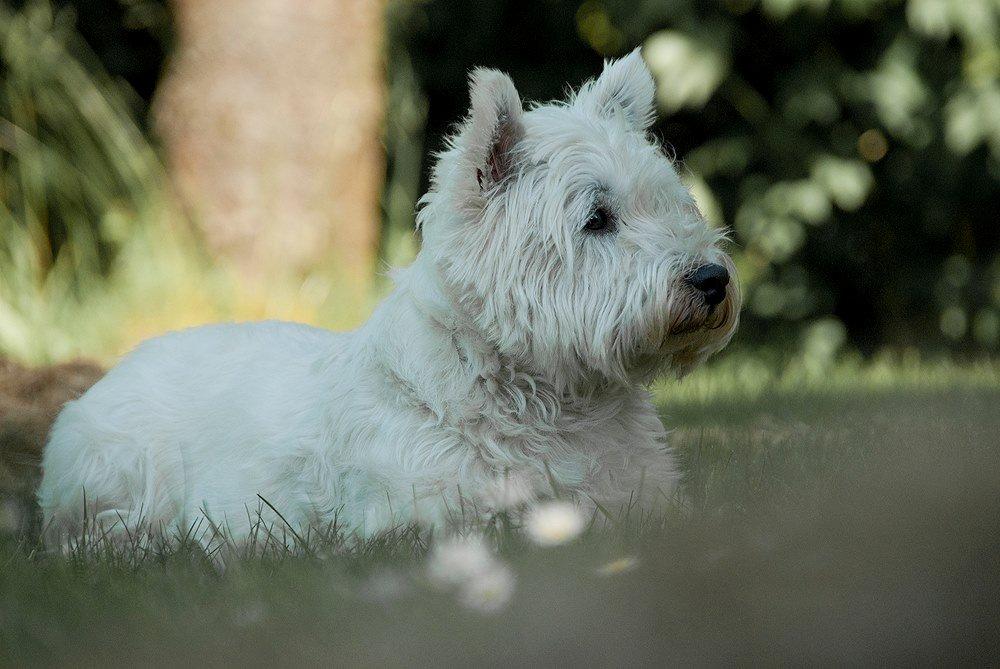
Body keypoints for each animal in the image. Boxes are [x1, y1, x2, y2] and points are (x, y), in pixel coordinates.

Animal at [39, 52, 740, 544]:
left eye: (670, 203)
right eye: (597, 219)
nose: (713, 280)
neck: (552, 400)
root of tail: (118, 365)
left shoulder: (645, 495)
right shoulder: (422, 515)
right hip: (118, 466)